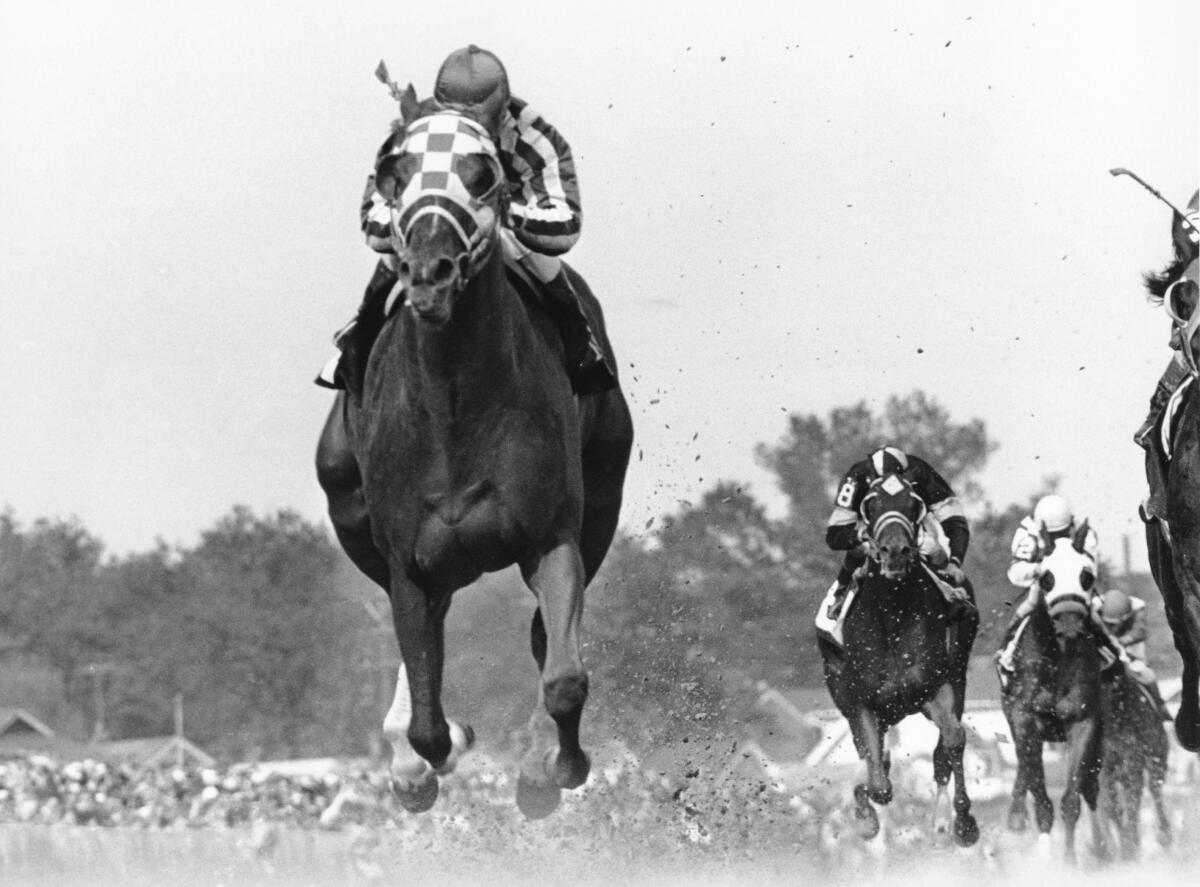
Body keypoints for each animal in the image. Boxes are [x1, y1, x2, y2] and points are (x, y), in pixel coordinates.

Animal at [319, 90, 638, 820]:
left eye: (484, 174)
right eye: (395, 173)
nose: (429, 272)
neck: (454, 402)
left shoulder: (552, 534)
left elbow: (564, 676)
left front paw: (549, 771)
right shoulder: (407, 558)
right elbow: (428, 721)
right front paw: (426, 758)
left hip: (602, 497)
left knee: (545, 637)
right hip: (346, 498)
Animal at [816, 475, 984, 849]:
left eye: (914, 503)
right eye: (871, 503)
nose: (895, 551)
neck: (892, 614)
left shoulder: (933, 688)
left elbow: (953, 740)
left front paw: (964, 822)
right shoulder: (863, 703)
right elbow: (878, 783)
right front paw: (866, 817)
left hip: (956, 679)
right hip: (846, 694)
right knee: (869, 757)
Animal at [998, 528, 1108, 868]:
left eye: (1086, 576)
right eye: (1046, 577)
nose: (1070, 626)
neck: (1056, 662)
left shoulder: (1084, 722)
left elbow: (1073, 798)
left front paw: (1070, 861)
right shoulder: (1025, 720)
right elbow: (1040, 797)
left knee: (1091, 788)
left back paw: (1101, 846)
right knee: (1024, 769)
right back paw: (1015, 819)